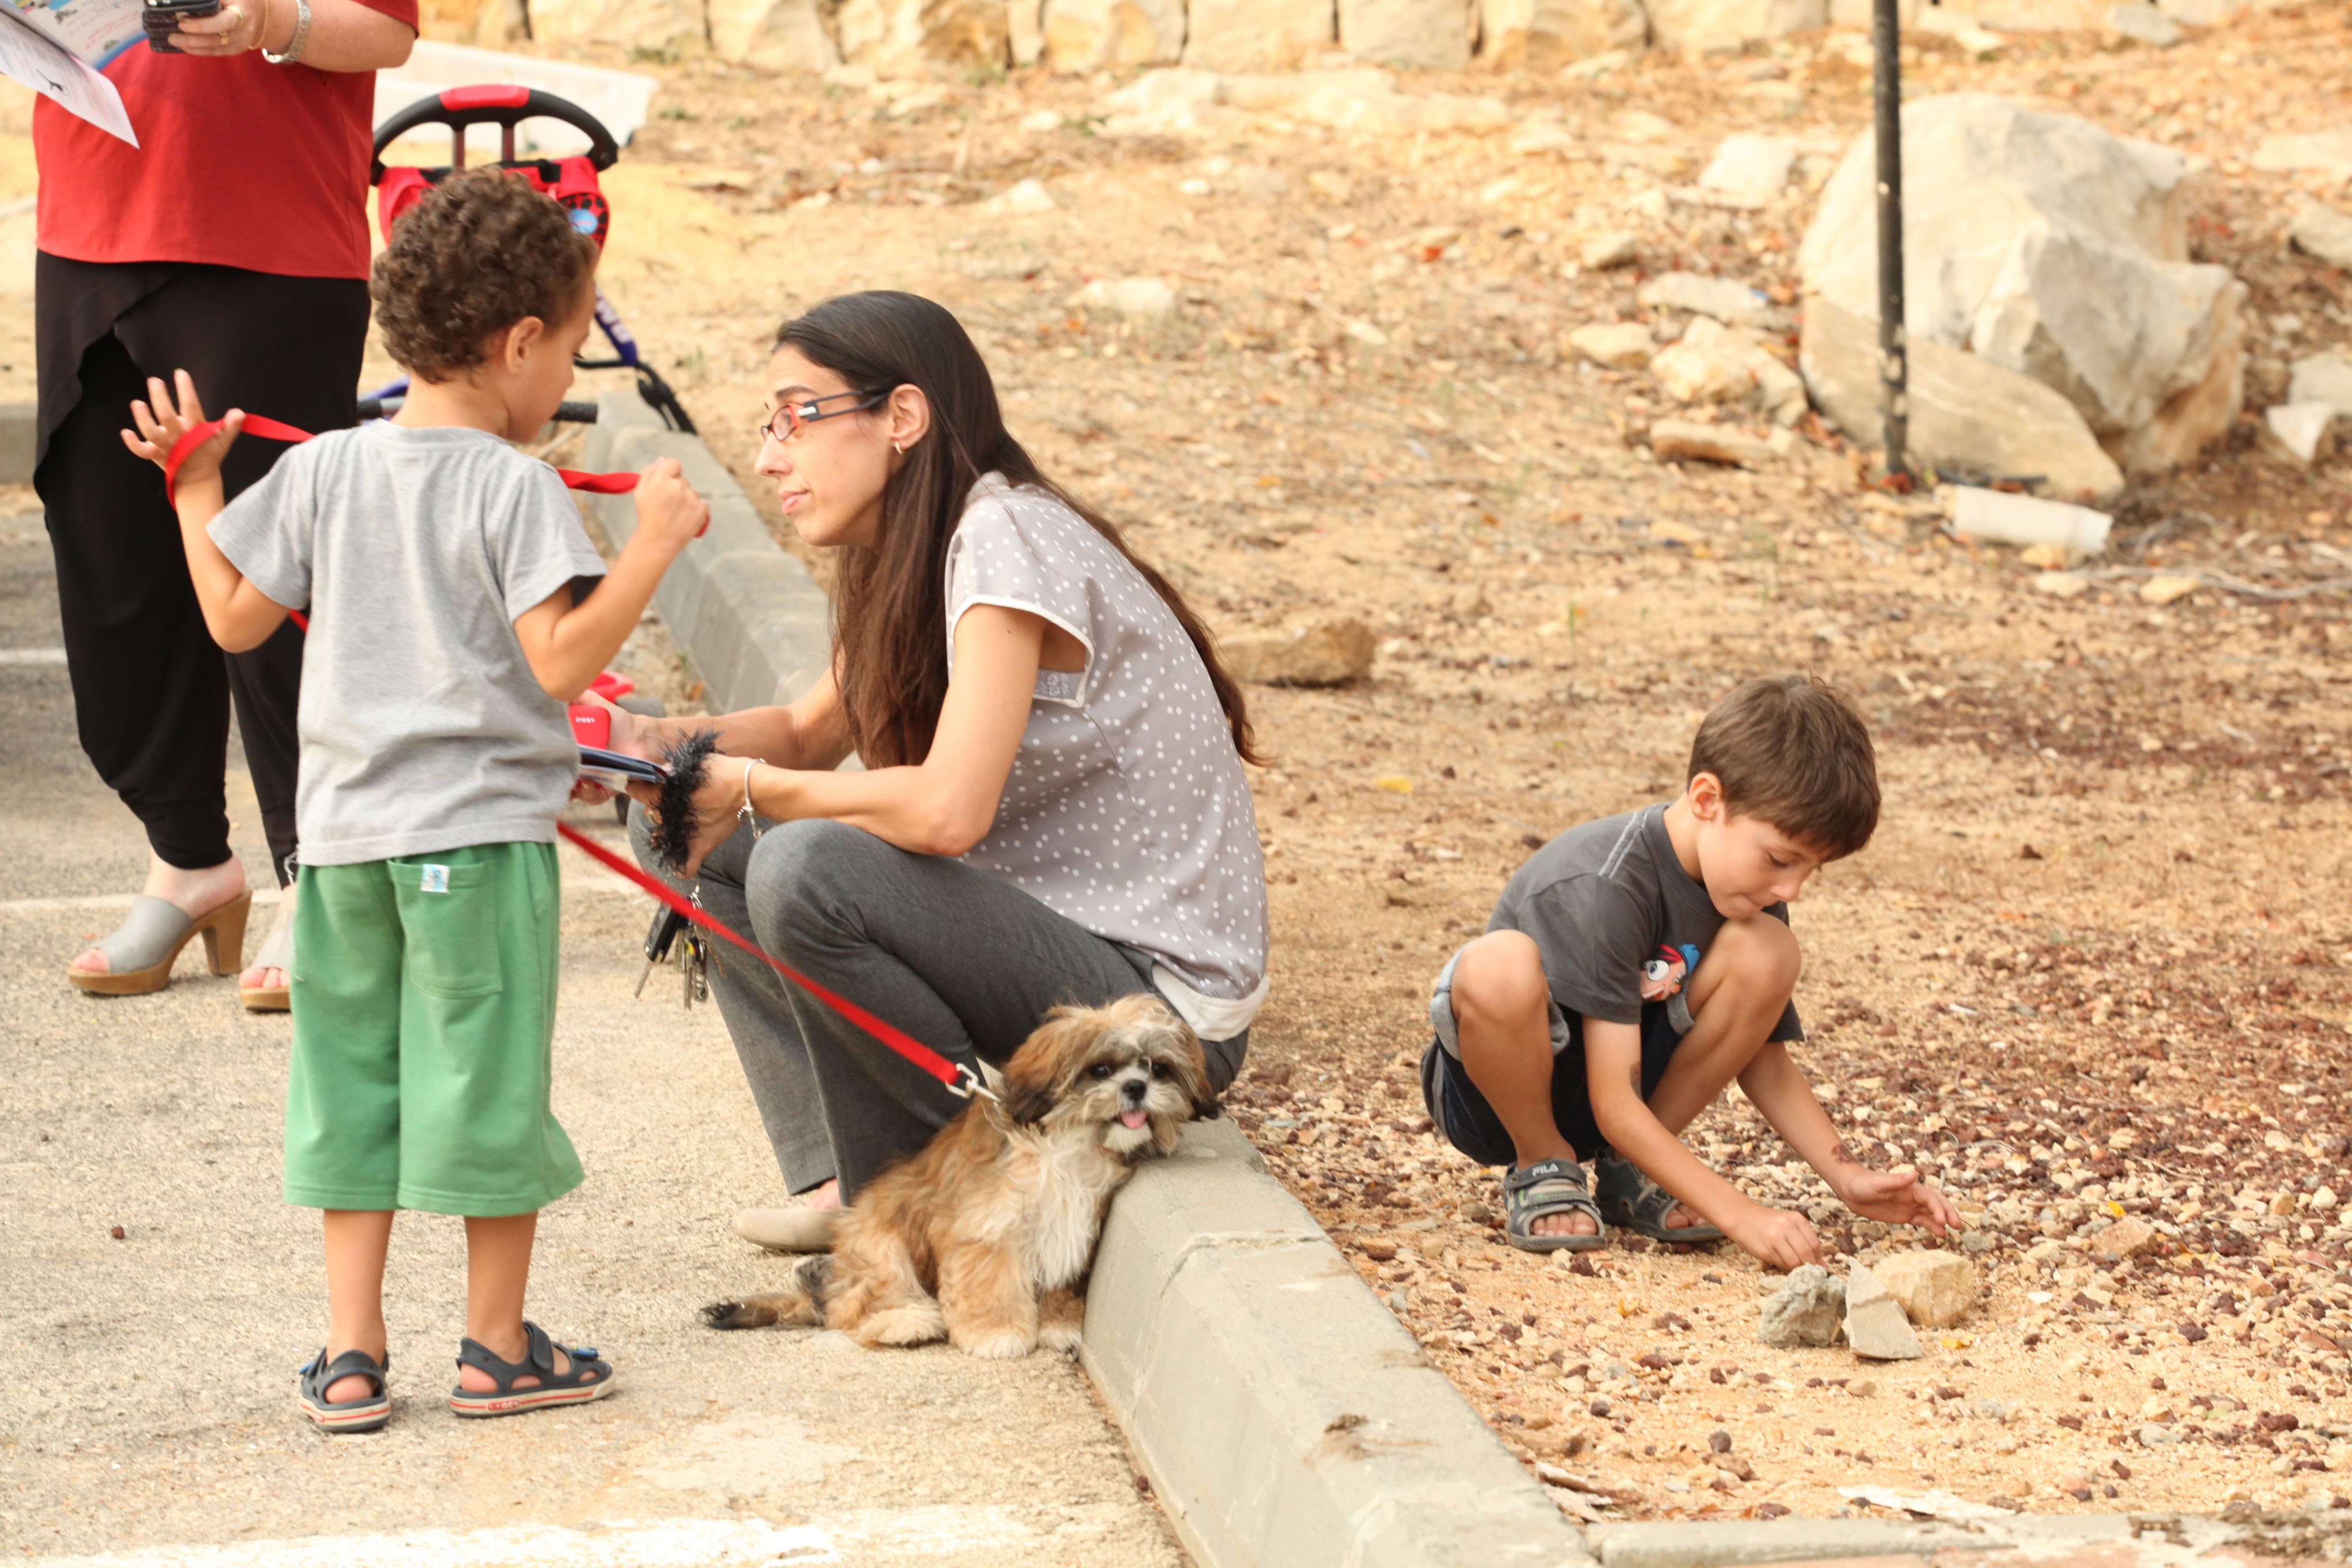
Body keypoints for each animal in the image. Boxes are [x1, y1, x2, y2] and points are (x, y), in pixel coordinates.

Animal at [700, 1001, 1213, 1354]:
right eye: (1101, 1069)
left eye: (1160, 1069)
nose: (1137, 1087)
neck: (1072, 1146)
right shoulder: (986, 1229)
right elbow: (990, 1283)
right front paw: (999, 1333)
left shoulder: (1070, 1231)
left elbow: (1059, 1282)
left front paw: (1060, 1324)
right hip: (881, 1241)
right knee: (864, 1300)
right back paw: (905, 1322)